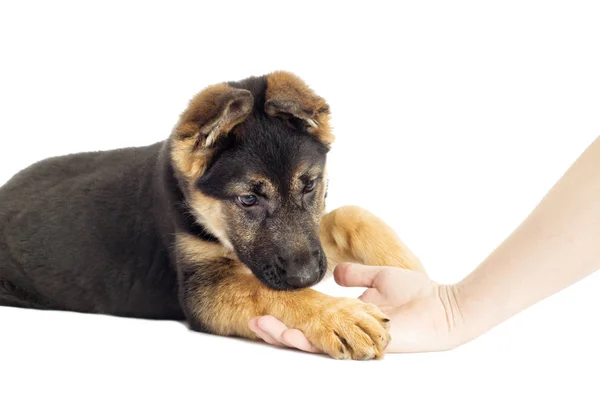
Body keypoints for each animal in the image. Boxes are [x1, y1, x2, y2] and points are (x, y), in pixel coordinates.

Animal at [0, 72, 422, 360]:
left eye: (309, 186)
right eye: (248, 199)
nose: (306, 278)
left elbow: (349, 214)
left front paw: (410, 271)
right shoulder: (205, 287)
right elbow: (266, 290)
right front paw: (337, 314)